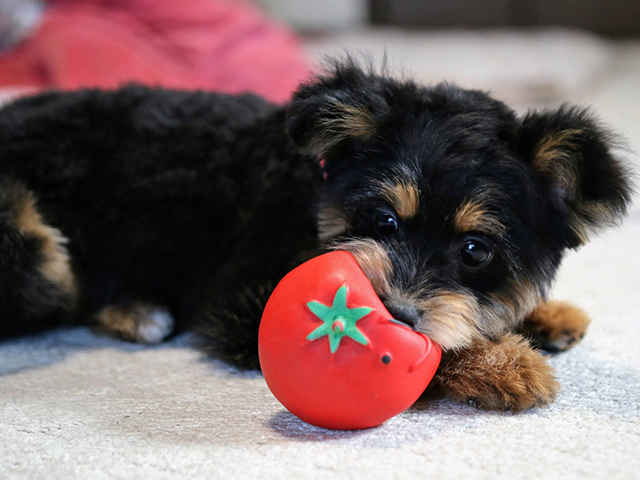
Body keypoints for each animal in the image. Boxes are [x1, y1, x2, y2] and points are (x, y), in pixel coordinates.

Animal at [0, 61, 632, 412]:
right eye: (384, 221)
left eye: (475, 251)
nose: (395, 312)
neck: (313, 195)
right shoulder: (246, 298)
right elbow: (430, 356)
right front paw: (505, 366)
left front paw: (545, 315)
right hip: (36, 245)